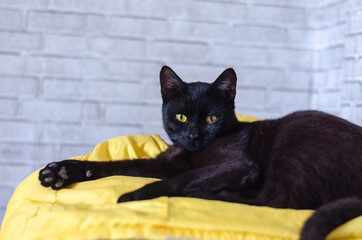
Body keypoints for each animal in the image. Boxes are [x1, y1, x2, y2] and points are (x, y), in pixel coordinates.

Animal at [39, 66, 362, 240]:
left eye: (211, 118)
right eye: (181, 117)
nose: (194, 135)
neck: (192, 153)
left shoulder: (238, 165)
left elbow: (177, 179)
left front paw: (133, 196)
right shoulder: (162, 165)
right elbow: (116, 165)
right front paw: (61, 171)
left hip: (295, 137)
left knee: (275, 201)